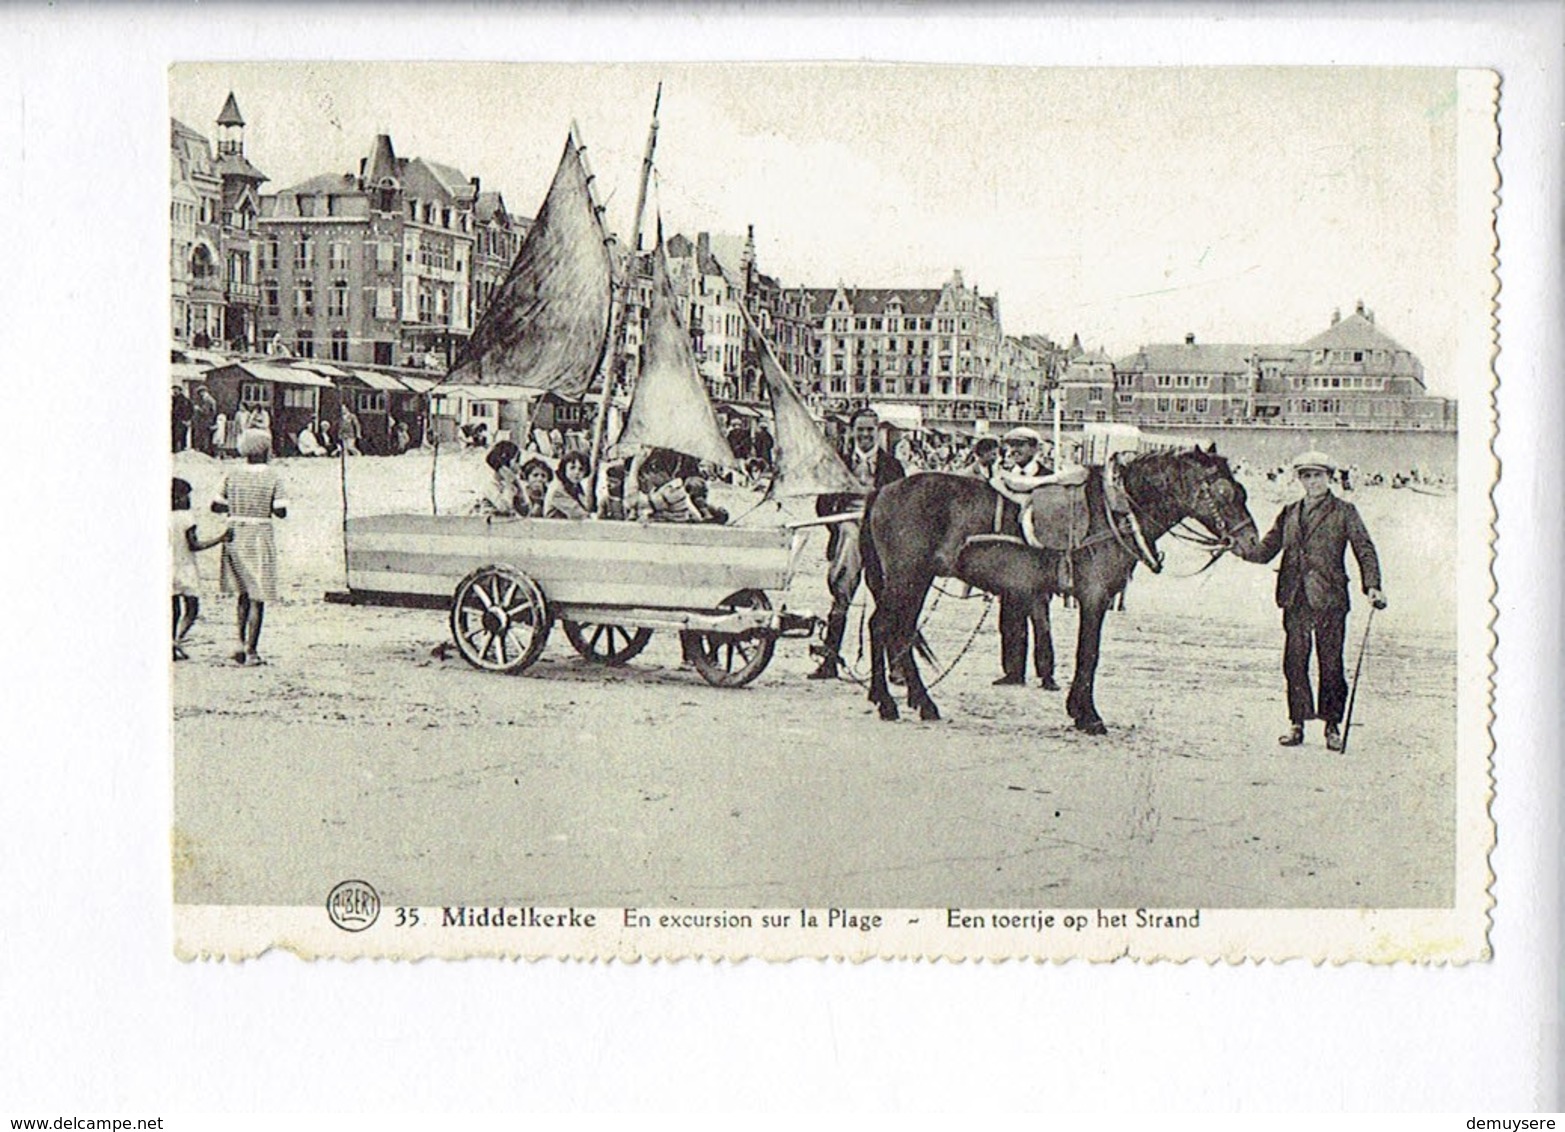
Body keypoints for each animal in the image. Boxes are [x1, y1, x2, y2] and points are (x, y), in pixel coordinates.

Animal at [857, 447, 1258, 729]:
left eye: (1242, 492)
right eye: (1225, 493)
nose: (1252, 543)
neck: (1115, 511)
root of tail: (884, 490)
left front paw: (1078, 709)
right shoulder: (1094, 597)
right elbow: (1089, 654)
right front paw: (1087, 715)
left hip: (915, 580)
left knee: (898, 631)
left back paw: (913, 701)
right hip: (908, 578)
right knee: (883, 627)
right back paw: (891, 702)